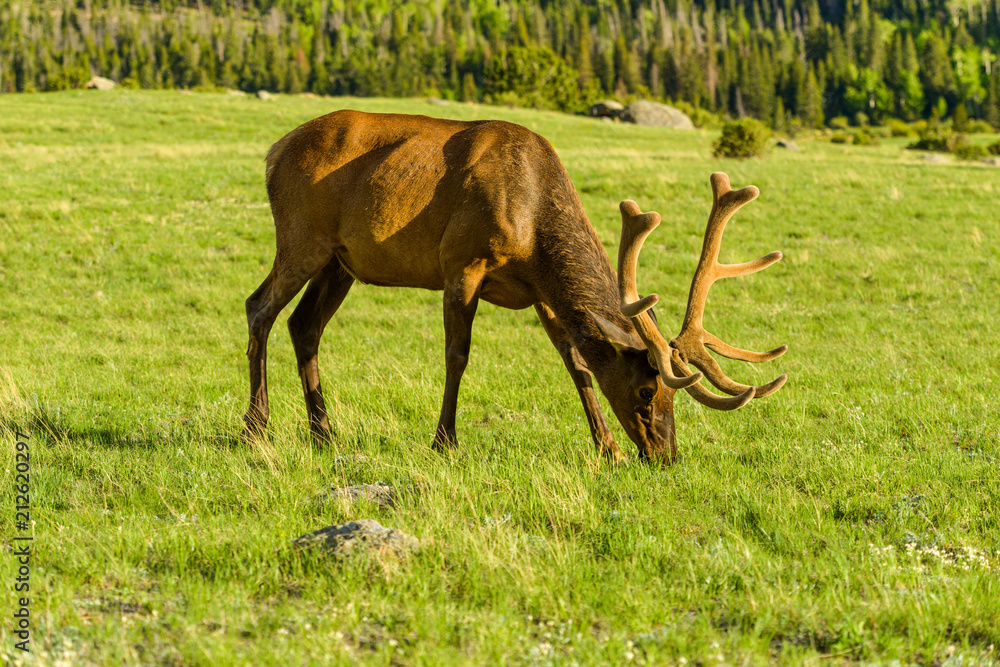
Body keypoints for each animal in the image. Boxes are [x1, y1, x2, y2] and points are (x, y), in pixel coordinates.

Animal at [243, 109, 787, 464]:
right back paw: (256, 426)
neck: (534, 233)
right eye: (646, 390)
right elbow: (457, 354)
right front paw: (445, 441)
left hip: (342, 260)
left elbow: (577, 364)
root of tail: (273, 152)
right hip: (300, 236)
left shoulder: (541, 293)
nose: (665, 455)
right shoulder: (462, 261)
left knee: (304, 325)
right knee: (259, 307)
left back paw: (323, 433)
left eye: (676, 397)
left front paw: (607, 448)